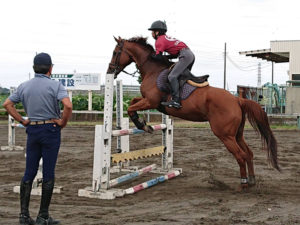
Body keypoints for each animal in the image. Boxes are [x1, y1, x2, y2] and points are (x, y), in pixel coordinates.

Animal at [106, 36, 280, 188]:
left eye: (115, 52)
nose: (110, 71)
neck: (153, 71)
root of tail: (237, 100)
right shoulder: (148, 101)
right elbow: (132, 103)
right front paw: (143, 124)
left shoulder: (151, 101)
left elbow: (130, 108)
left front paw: (143, 125)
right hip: (237, 134)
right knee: (248, 153)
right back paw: (252, 180)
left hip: (225, 134)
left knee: (240, 155)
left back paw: (243, 183)